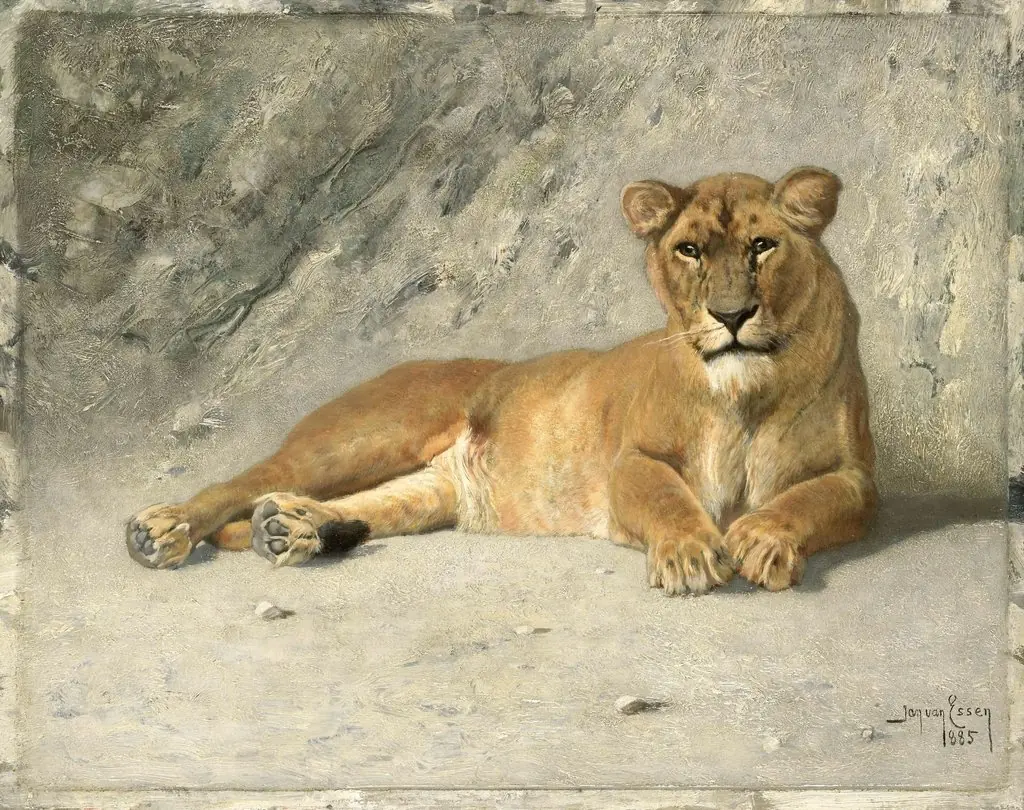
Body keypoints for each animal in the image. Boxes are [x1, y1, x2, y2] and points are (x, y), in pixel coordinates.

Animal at [126, 166, 877, 595]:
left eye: (762, 246)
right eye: (689, 250)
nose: (731, 315)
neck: (746, 392)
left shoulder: (858, 479)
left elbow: (809, 499)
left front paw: (764, 537)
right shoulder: (631, 460)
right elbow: (667, 495)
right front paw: (692, 554)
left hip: (429, 491)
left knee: (365, 504)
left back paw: (293, 530)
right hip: (360, 438)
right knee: (248, 481)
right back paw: (162, 530)